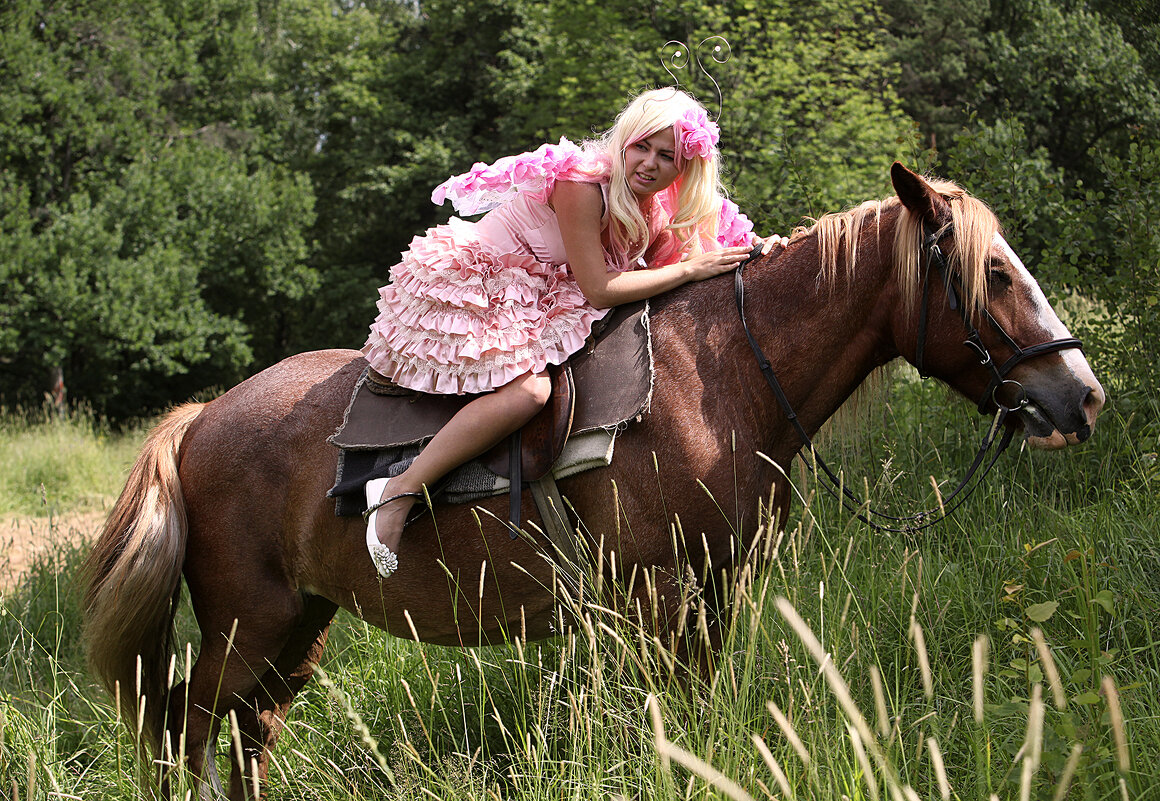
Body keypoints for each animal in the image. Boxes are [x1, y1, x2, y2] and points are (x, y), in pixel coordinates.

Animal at [84, 163, 1104, 797]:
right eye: (996, 273)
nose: (1082, 394)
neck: (722, 376)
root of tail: (200, 420)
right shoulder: (655, 596)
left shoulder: (714, 591)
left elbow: (696, 715)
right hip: (246, 622)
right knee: (185, 728)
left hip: (300, 622)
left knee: (248, 732)